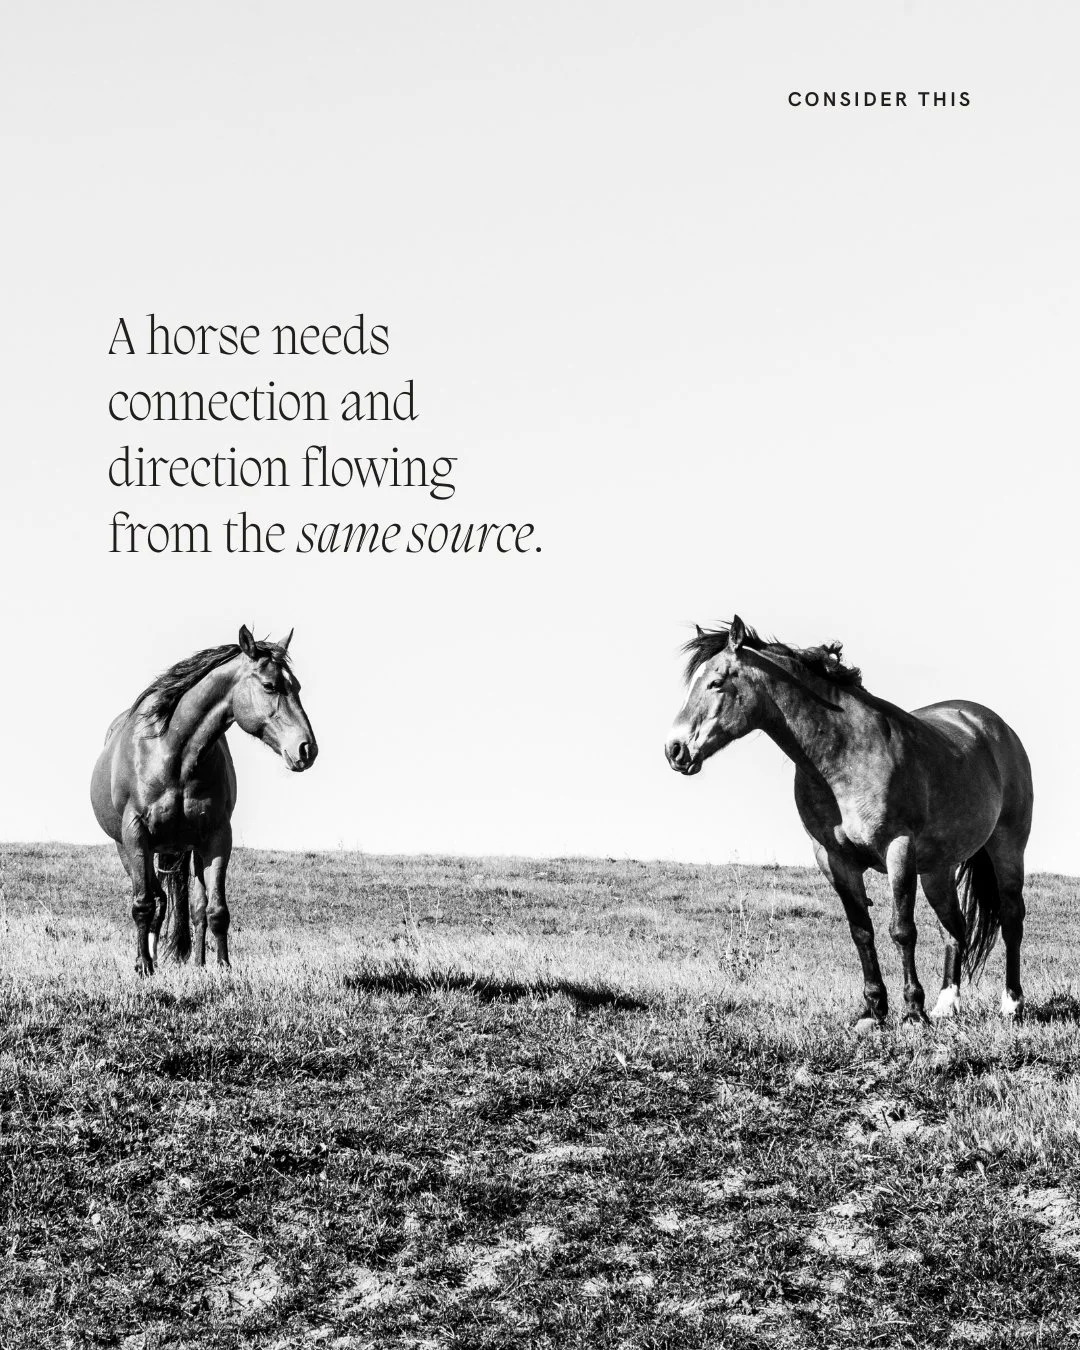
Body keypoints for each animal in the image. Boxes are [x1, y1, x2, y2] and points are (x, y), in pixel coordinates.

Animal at [91, 626, 318, 976]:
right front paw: (143, 967)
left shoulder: (217, 836)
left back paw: (196, 963)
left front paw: (223, 967)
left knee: (190, 906)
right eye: (269, 686)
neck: (174, 754)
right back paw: (149, 959)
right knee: (155, 899)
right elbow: (142, 904)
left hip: (190, 849)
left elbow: (215, 910)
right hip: (128, 849)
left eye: (298, 687)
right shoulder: (136, 835)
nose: (307, 749)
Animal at [665, 616, 1033, 1025]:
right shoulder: (834, 859)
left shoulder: (898, 849)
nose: (675, 749)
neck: (844, 755)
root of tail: (989, 725)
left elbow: (902, 930)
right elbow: (862, 932)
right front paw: (873, 1010)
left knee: (1011, 918)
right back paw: (946, 1005)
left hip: (1007, 847)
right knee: (954, 927)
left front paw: (912, 1011)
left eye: (716, 682)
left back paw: (1010, 1004)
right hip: (938, 868)